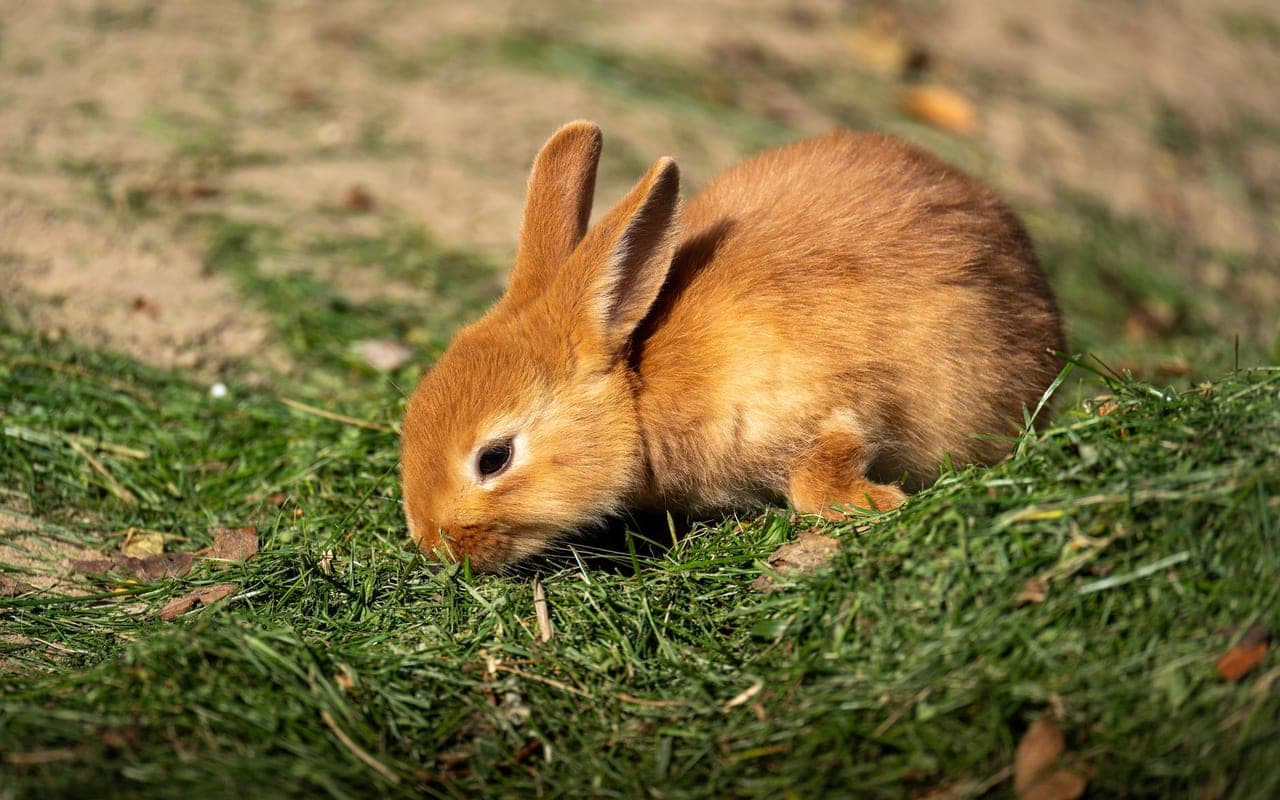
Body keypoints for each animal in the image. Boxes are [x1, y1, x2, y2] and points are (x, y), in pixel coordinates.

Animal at [400, 120, 1065, 572]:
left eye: (494, 459)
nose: (435, 546)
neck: (639, 390)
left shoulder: (828, 404)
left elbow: (820, 473)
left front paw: (878, 503)